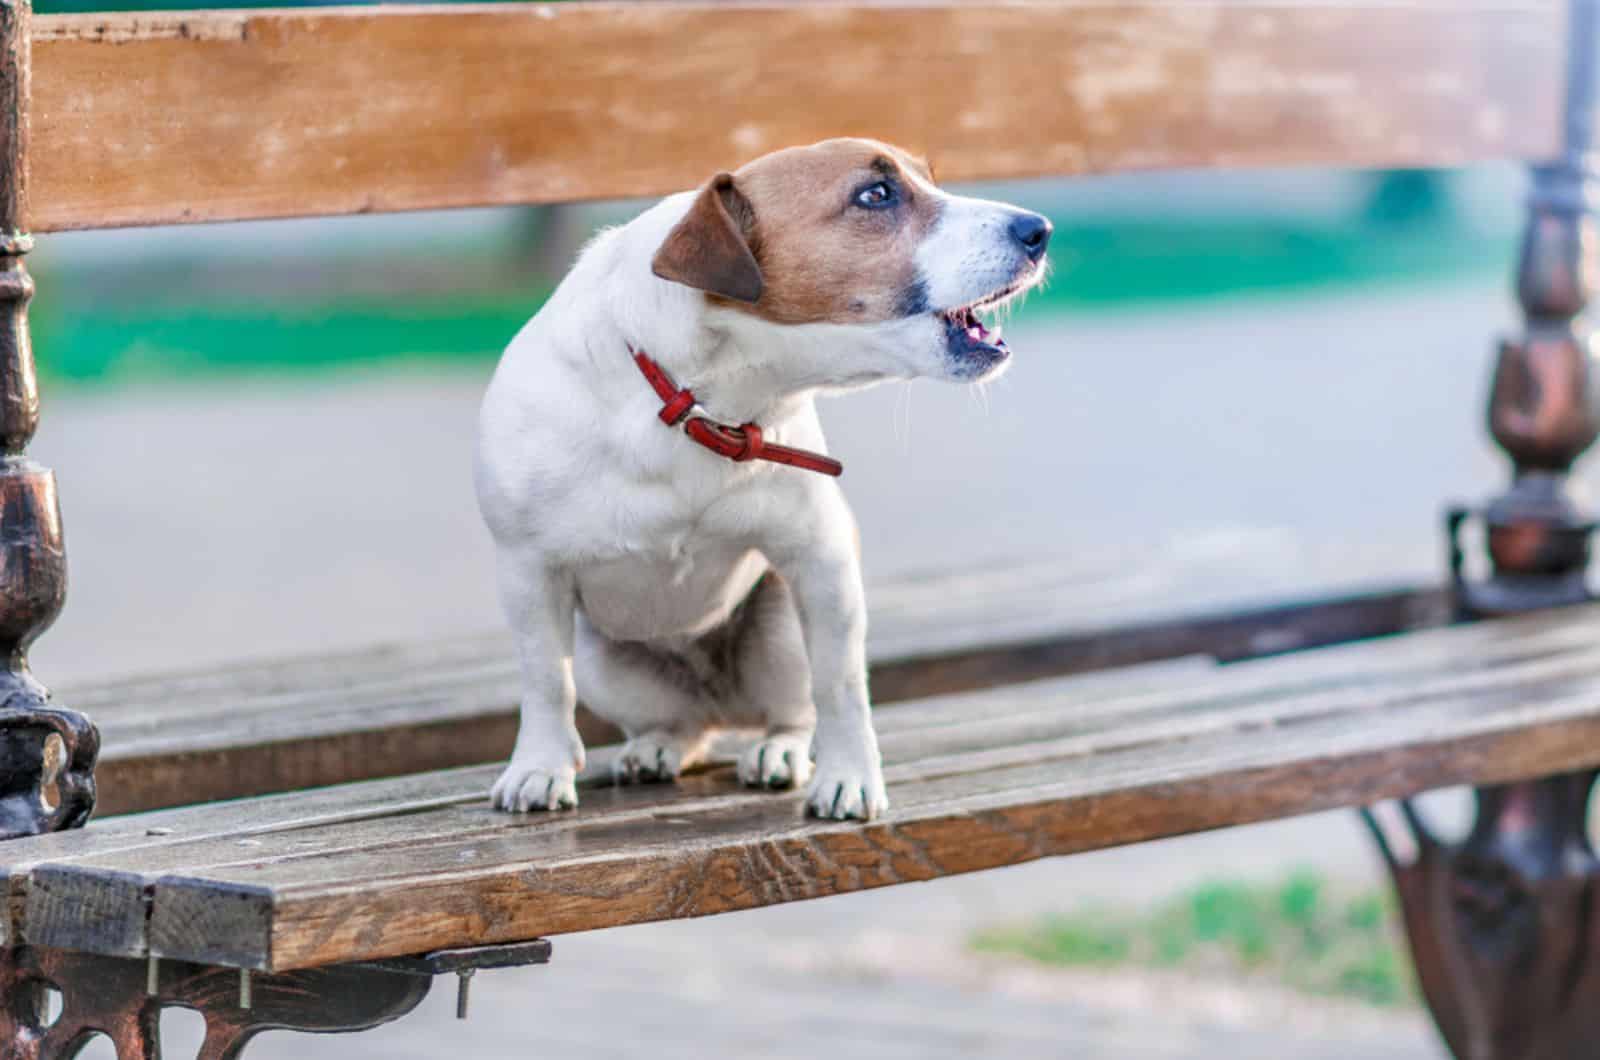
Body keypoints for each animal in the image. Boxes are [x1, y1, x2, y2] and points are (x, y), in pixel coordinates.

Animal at [473, 139, 1049, 819]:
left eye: (931, 179)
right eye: (876, 195)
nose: (1039, 230)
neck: (696, 403)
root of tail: (721, 700)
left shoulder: (821, 561)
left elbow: (840, 686)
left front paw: (849, 776)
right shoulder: (528, 572)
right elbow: (543, 681)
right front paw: (539, 767)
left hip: (778, 627)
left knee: (791, 710)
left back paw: (779, 751)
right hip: (603, 662)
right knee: (678, 721)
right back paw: (660, 744)